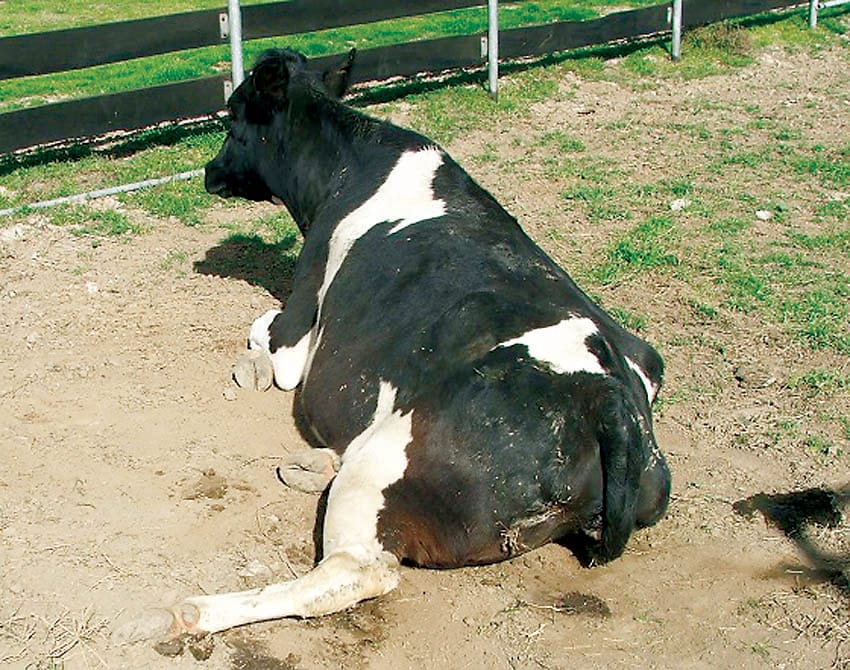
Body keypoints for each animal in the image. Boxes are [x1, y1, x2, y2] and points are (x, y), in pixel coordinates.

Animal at [143, 47, 671, 641]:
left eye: (233, 116)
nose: (209, 172)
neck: (349, 166)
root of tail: (609, 400)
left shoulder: (297, 330)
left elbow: (263, 329)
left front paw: (250, 364)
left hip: (381, 463)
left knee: (353, 573)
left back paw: (198, 610)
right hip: (646, 368)